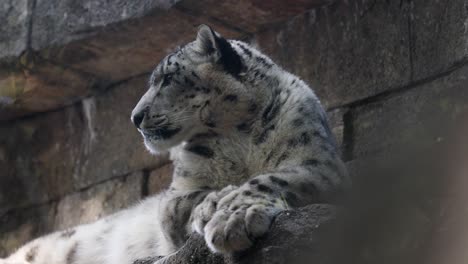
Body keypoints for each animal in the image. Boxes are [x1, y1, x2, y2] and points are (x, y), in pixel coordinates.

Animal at [0, 24, 348, 264]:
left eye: (167, 79)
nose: (135, 116)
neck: (238, 136)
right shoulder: (177, 192)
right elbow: (185, 201)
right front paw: (214, 205)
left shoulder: (318, 162)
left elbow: (272, 178)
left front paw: (233, 217)